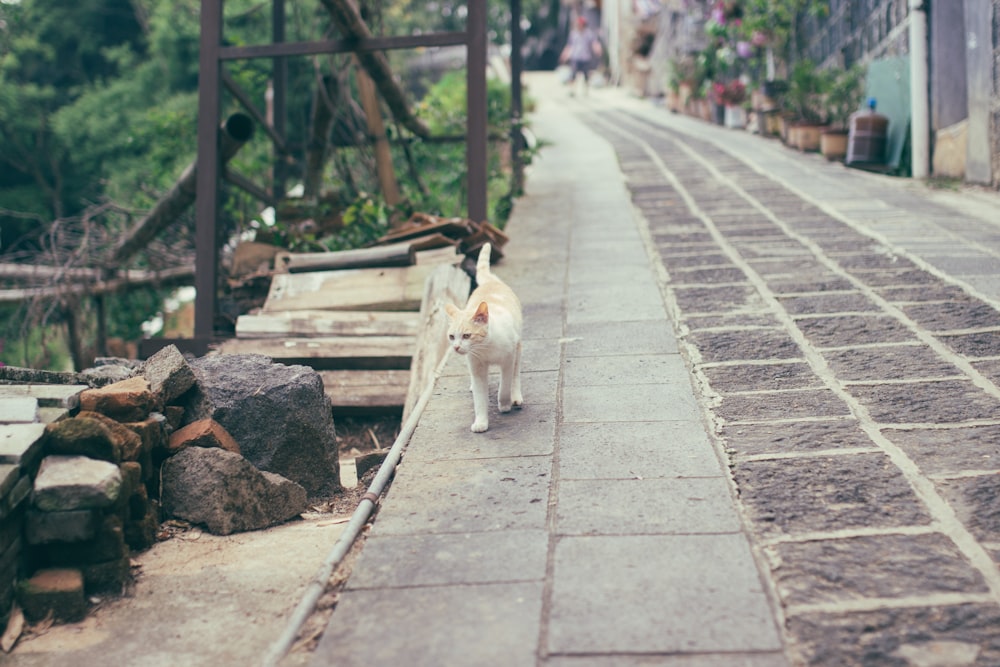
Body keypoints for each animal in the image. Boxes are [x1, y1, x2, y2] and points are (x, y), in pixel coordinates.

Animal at [446, 241, 524, 434]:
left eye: (467, 335)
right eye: (451, 336)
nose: (456, 347)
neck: (486, 348)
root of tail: (491, 282)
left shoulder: (508, 359)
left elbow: (505, 385)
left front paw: (504, 404)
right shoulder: (477, 367)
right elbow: (480, 399)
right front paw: (481, 422)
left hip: (518, 347)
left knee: (515, 374)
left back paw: (515, 396)